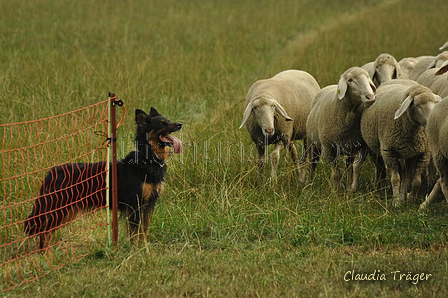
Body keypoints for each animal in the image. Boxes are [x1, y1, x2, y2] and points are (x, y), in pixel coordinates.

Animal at [24, 107, 182, 249]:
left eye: (168, 120)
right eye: (161, 124)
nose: (180, 124)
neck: (147, 158)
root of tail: (51, 173)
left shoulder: (148, 205)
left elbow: (145, 231)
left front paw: (145, 249)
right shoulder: (135, 205)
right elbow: (135, 233)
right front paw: (136, 251)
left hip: (66, 210)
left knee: (46, 230)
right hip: (57, 207)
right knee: (43, 230)